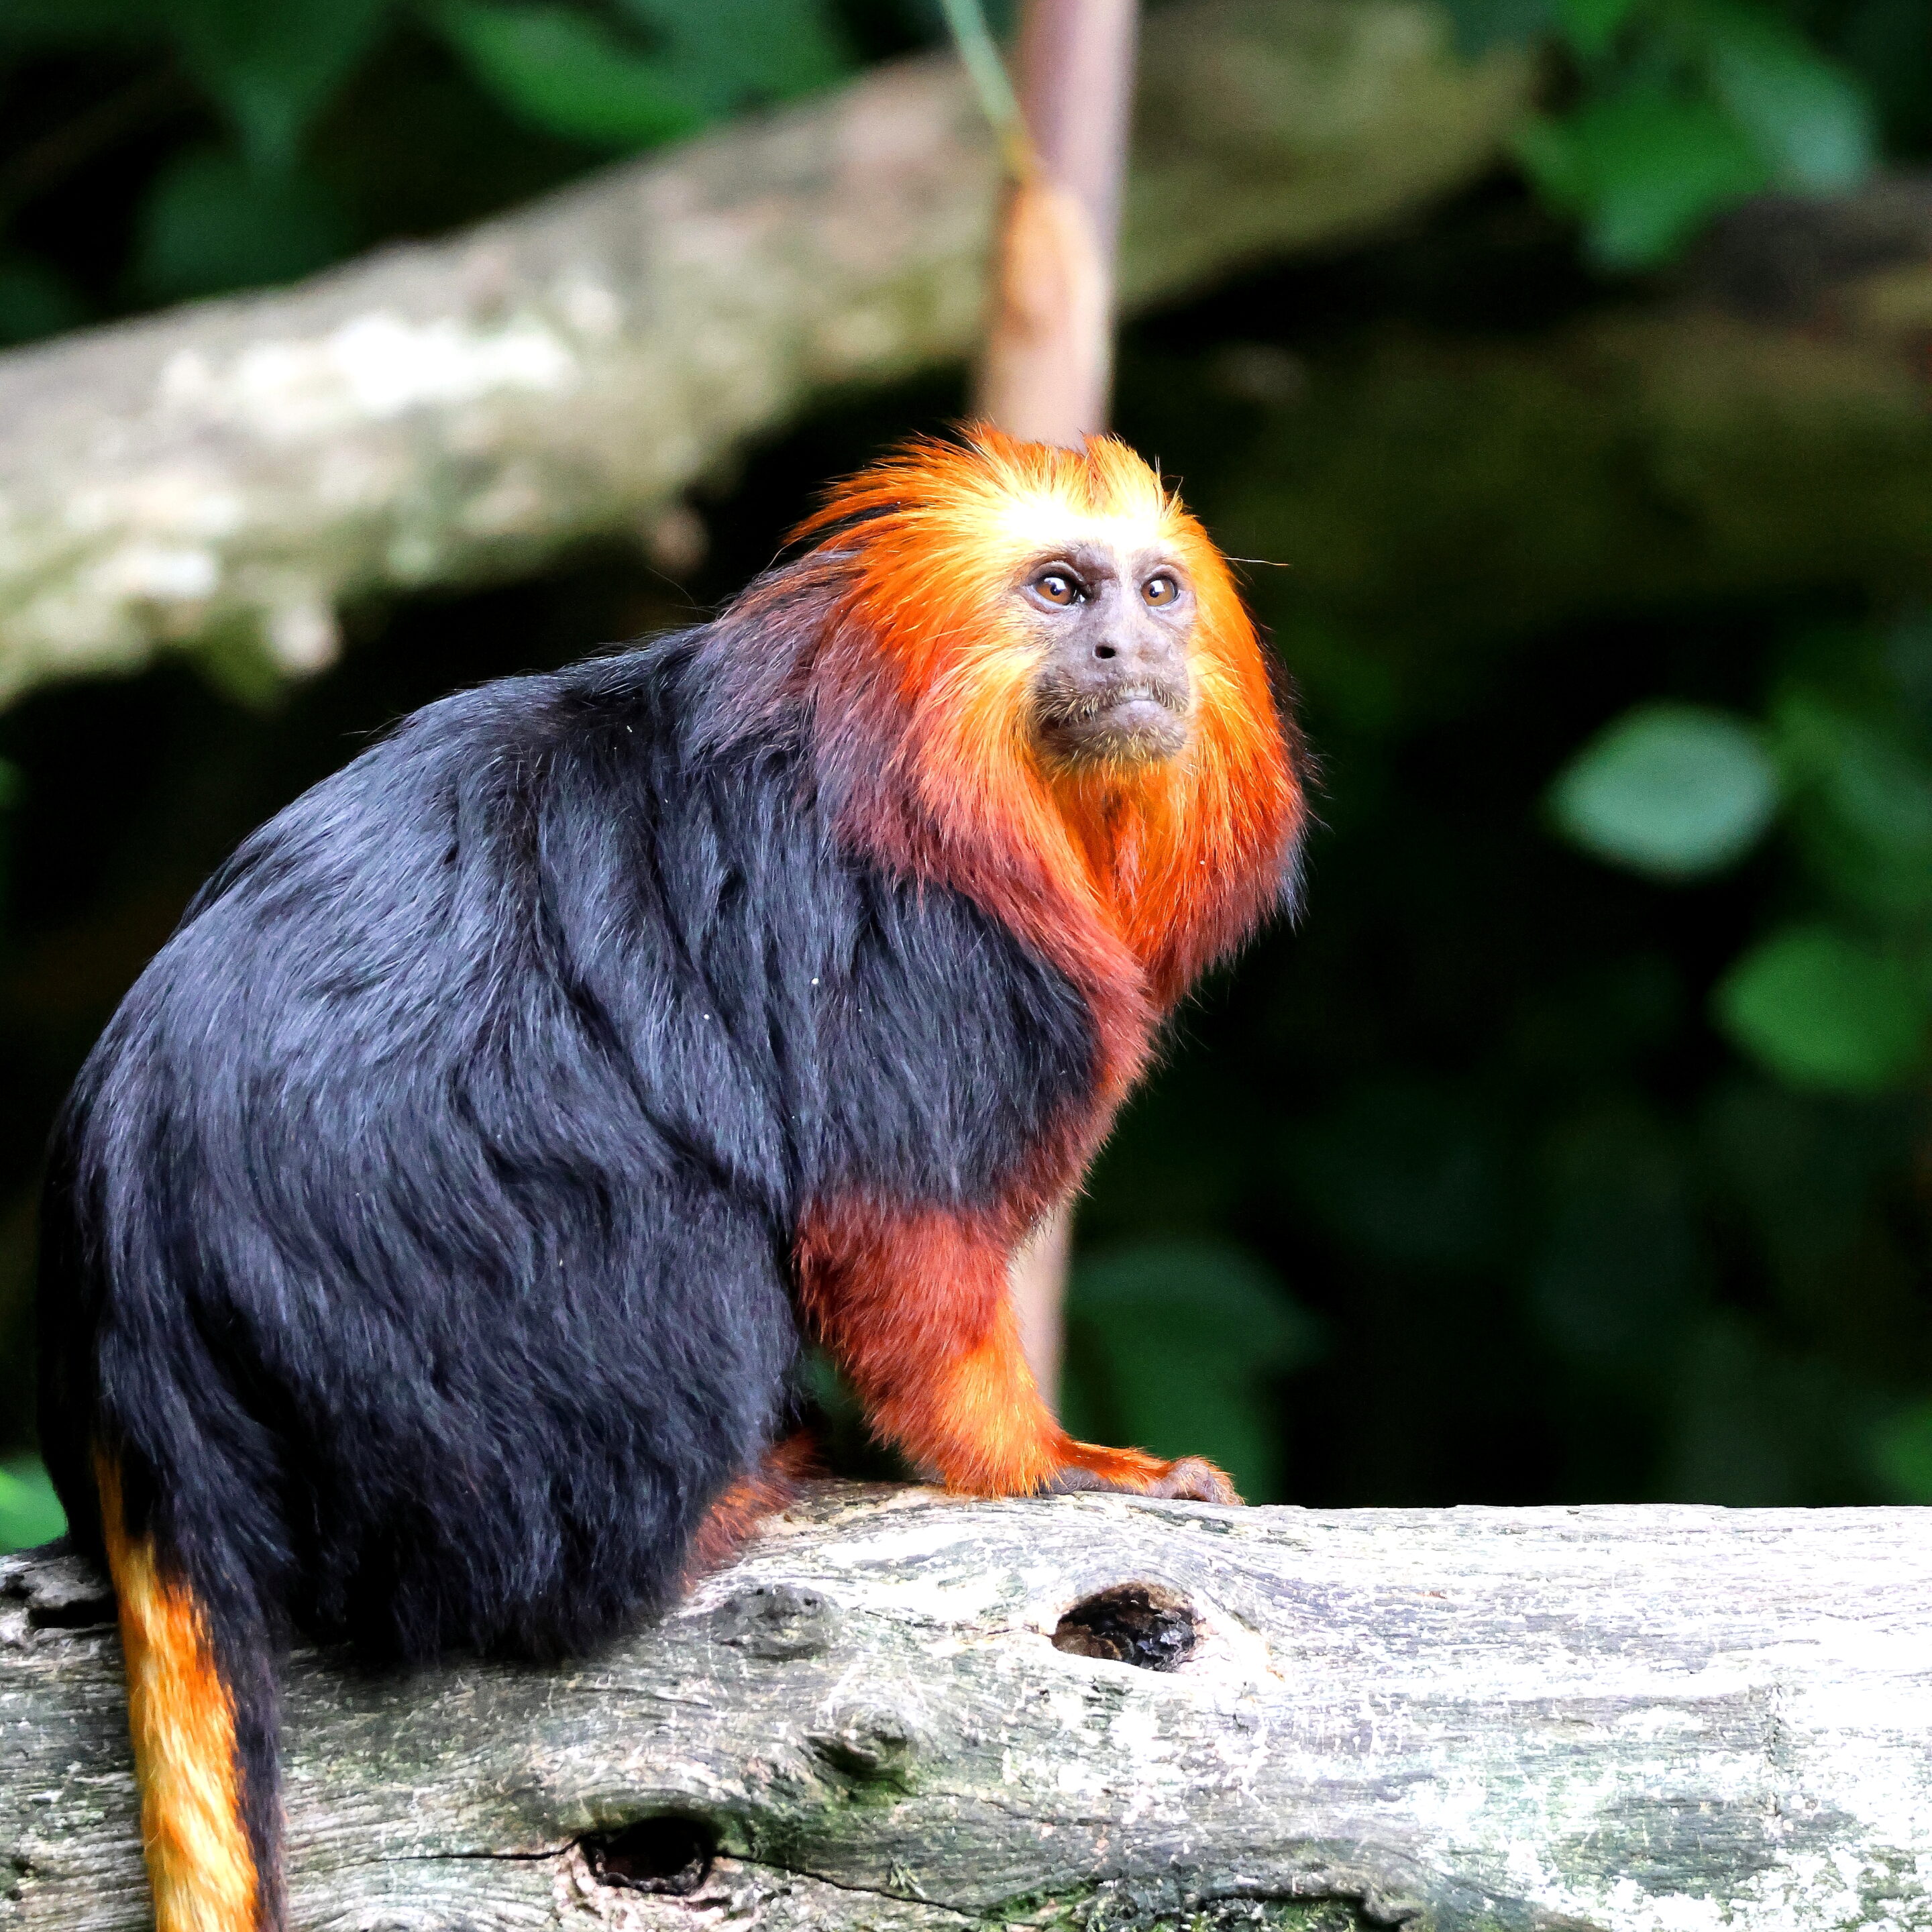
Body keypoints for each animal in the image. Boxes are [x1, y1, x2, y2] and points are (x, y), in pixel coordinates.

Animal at [35, 426, 1304, 1932]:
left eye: (1158, 591)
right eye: (1061, 590)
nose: (1128, 647)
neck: (946, 777)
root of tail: (135, 1277)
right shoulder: (910, 946)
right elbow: (896, 1239)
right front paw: (1044, 1467)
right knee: (659, 1243)